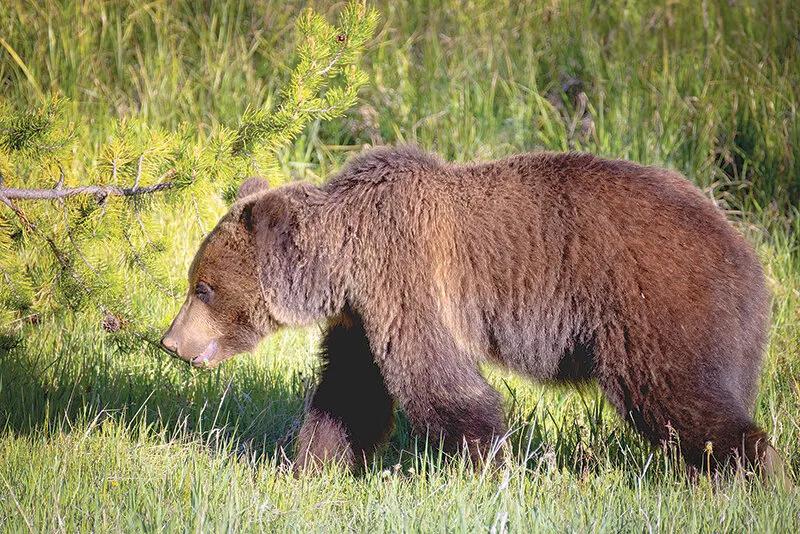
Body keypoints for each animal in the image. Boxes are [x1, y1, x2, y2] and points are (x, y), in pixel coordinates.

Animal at [161, 146, 781, 477]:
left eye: (203, 288)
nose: (170, 340)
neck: (342, 263)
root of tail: (748, 256)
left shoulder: (405, 277)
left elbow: (442, 386)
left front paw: (485, 467)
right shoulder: (362, 316)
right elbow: (350, 393)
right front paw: (312, 466)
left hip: (656, 308)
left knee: (678, 399)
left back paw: (754, 474)